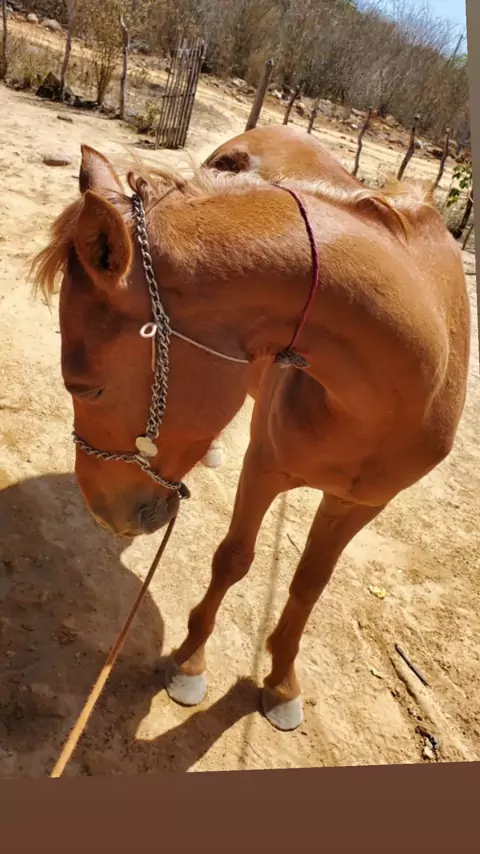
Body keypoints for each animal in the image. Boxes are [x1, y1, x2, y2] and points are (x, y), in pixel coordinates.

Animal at [31, 138, 470, 731]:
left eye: (86, 387)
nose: (102, 512)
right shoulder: (263, 468)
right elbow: (234, 559)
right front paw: (189, 663)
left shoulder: (360, 504)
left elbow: (308, 585)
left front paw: (282, 684)